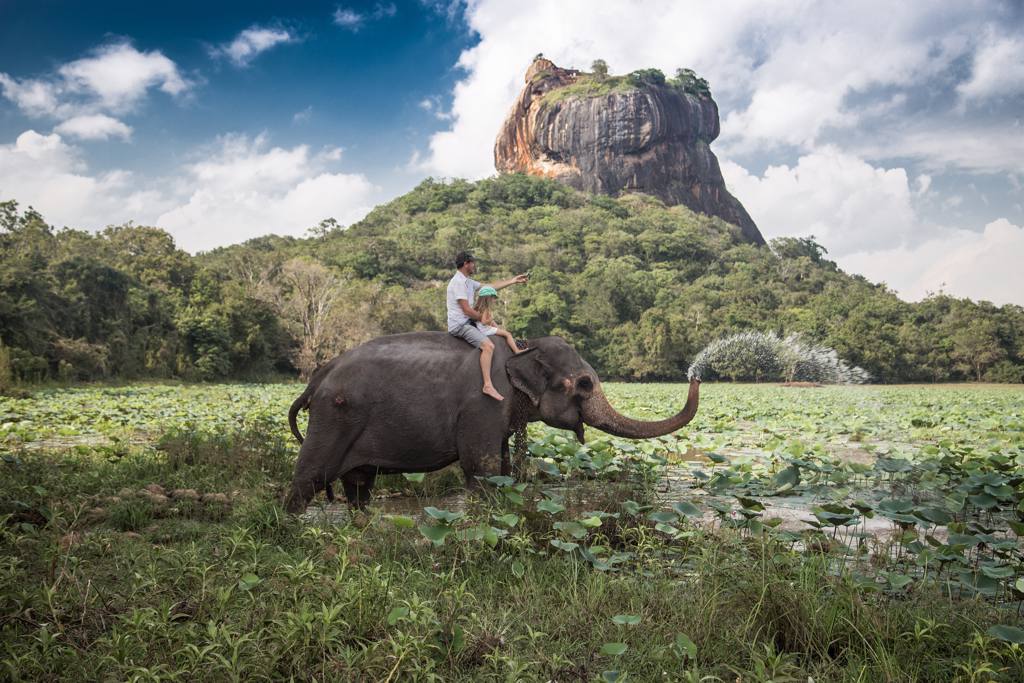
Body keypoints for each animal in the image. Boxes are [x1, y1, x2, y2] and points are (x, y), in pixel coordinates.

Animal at [280, 331, 700, 511]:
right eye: (583, 384)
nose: (695, 374)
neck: (523, 347)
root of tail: (319, 375)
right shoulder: (483, 404)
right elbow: (481, 468)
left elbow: (502, 467)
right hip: (333, 417)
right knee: (309, 478)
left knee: (358, 486)